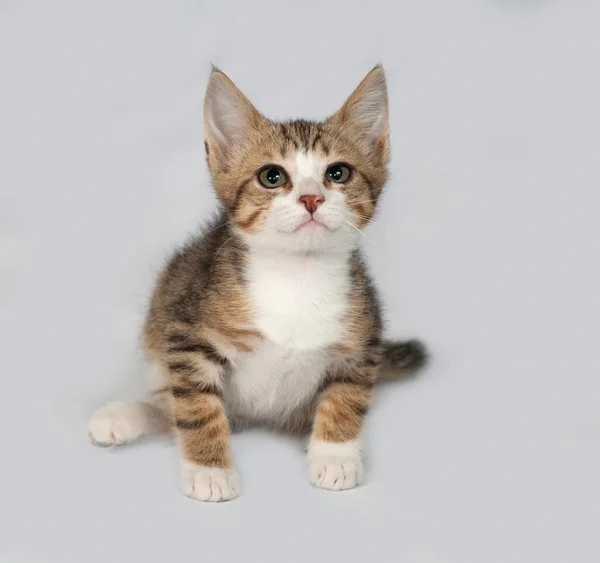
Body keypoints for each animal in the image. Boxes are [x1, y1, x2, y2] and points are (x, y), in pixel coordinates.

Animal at [88, 65, 426, 502]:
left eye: (337, 173)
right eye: (272, 176)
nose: (312, 199)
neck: (297, 276)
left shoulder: (361, 341)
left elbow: (347, 398)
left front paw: (336, 455)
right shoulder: (187, 333)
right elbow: (195, 407)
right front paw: (209, 469)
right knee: (173, 406)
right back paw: (122, 416)